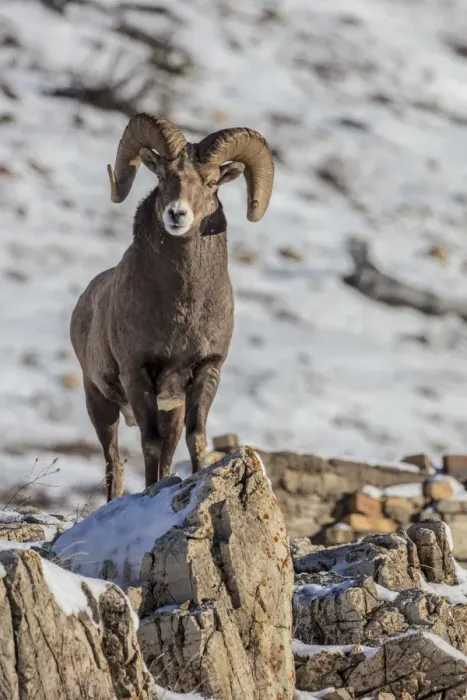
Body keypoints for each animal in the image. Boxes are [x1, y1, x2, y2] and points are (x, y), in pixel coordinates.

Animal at [70, 113, 274, 501]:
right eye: (163, 176)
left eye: (211, 182)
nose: (176, 214)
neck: (183, 309)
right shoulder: (138, 374)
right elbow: (149, 443)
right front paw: (151, 492)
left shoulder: (205, 371)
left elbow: (196, 439)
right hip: (99, 402)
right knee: (114, 462)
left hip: (170, 409)